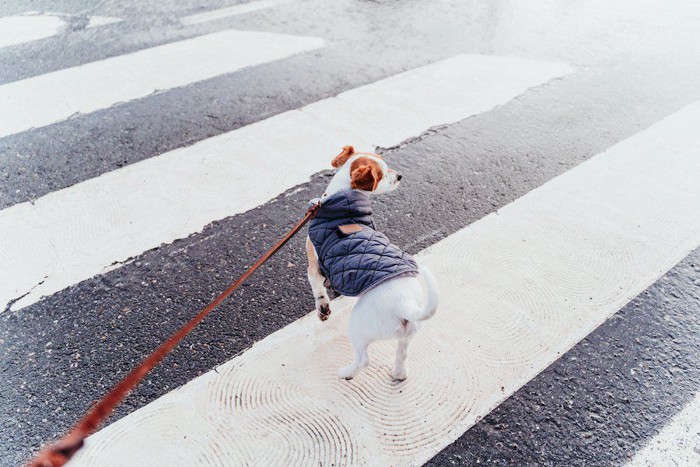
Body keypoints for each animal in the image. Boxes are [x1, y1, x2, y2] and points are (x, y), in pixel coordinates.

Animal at [304, 145, 438, 380]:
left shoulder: (314, 267)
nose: (400, 176)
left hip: (358, 326)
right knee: (402, 357)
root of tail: (407, 305)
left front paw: (323, 309)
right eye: (382, 174)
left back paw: (346, 373)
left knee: (363, 359)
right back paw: (398, 374)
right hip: (406, 335)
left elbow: (318, 290)